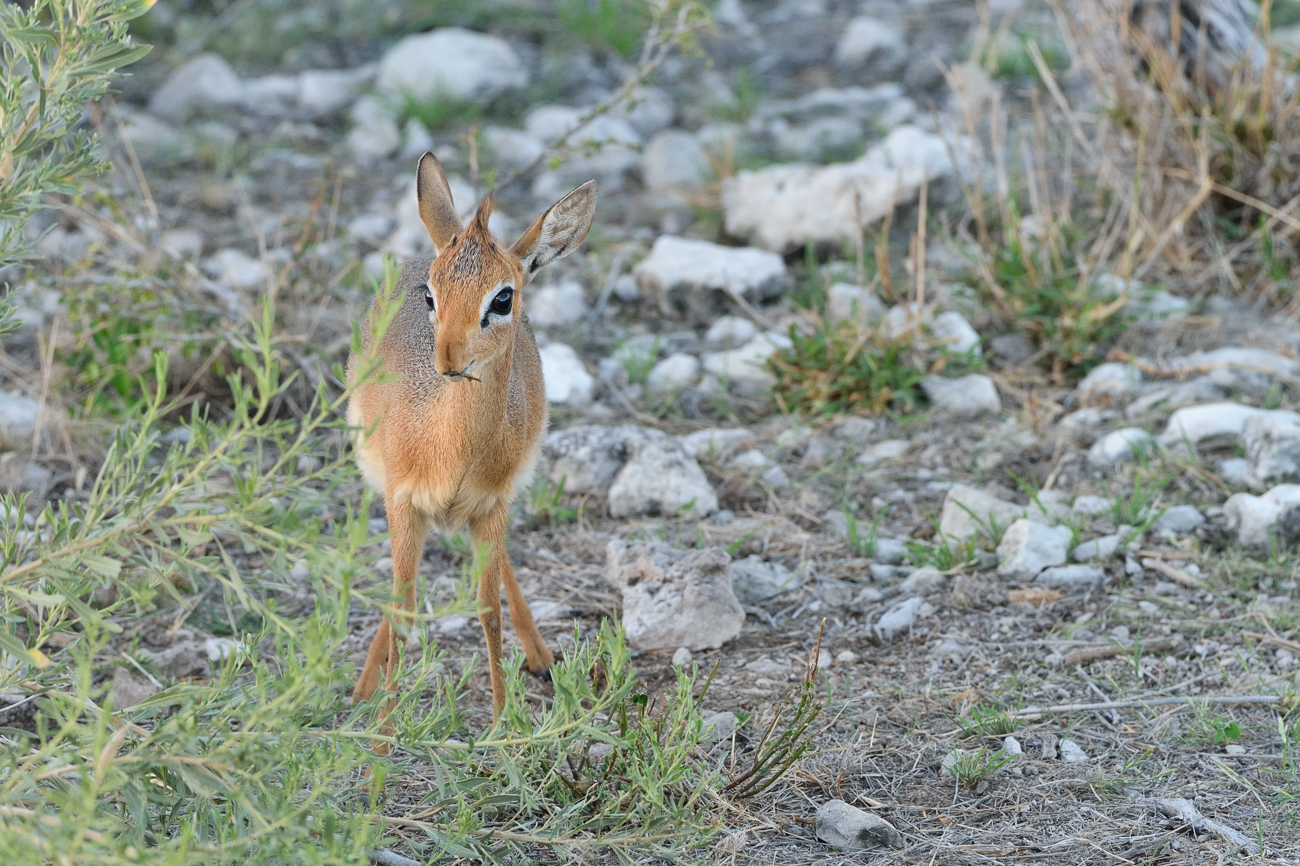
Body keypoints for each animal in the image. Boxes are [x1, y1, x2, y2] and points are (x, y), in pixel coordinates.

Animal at [353, 153, 600, 712]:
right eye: (431, 294)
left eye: (503, 298)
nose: (447, 360)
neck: (451, 452)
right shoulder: (402, 501)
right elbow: (404, 606)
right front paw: (383, 726)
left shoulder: (492, 505)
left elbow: (489, 609)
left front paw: (502, 722)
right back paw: (363, 686)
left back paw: (541, 657)